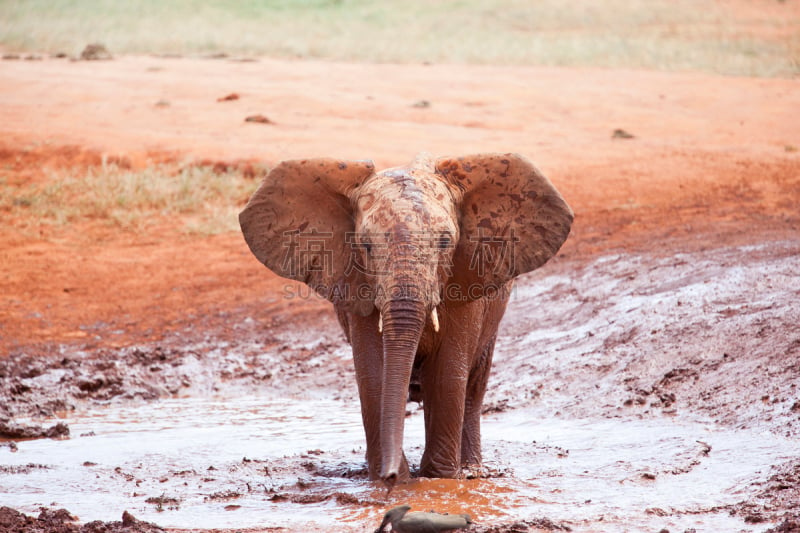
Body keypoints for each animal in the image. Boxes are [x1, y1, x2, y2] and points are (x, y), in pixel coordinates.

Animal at [239, 152, 576, 488]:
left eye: (444, 242)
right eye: (366, 245)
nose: (389, 476)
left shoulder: (466, 283)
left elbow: (447, 374)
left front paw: (439, 480)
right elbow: (374, 374)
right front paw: (390, 480)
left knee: (473, 388)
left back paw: (471, 472)